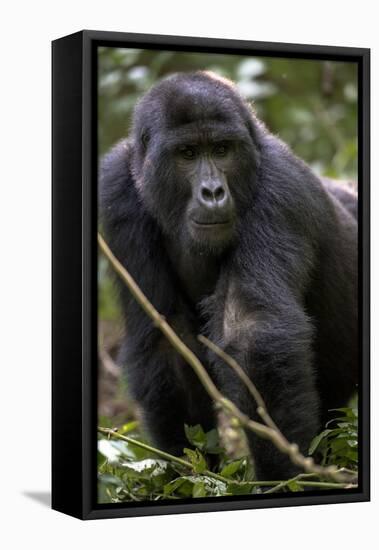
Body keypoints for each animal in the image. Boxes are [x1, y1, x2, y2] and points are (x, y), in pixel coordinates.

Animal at [99, 71, 358, 480]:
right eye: (187, 154)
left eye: (222, 150)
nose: (213, 192)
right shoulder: (116, 192)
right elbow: (167, 339)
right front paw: (188, 472)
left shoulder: (281, 189)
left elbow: (253, 333)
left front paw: (283, 477)